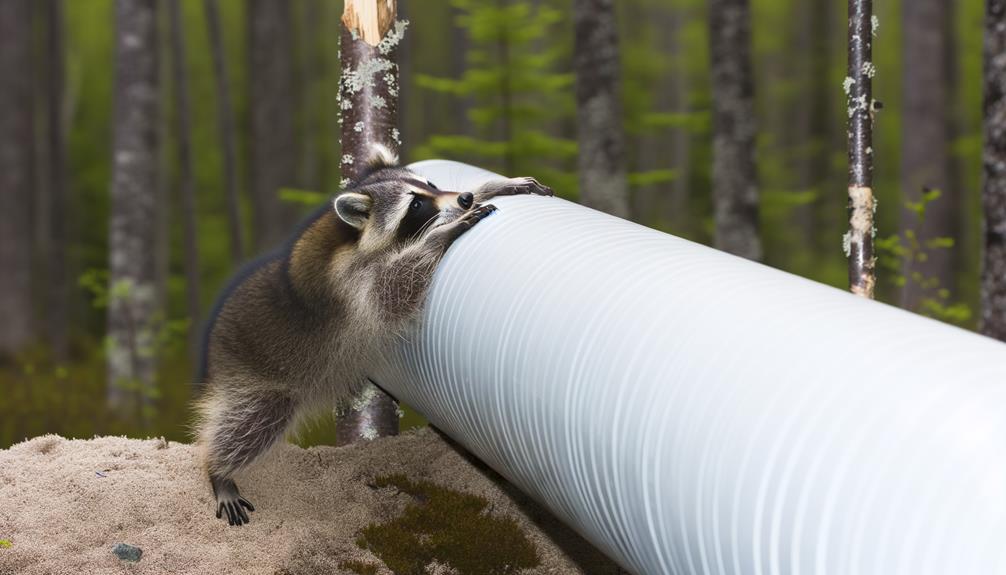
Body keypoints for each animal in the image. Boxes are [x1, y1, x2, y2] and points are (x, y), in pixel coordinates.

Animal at [192, 146, 555, 526]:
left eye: (431, 185)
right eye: (415, 205)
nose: (465, 198)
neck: (353, 238)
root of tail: (214, 339)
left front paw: (491, 187)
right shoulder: (352, 284)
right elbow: (392, 289)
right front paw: (441, 233)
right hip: (257, 376)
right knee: (248, 424)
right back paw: (218, 469)